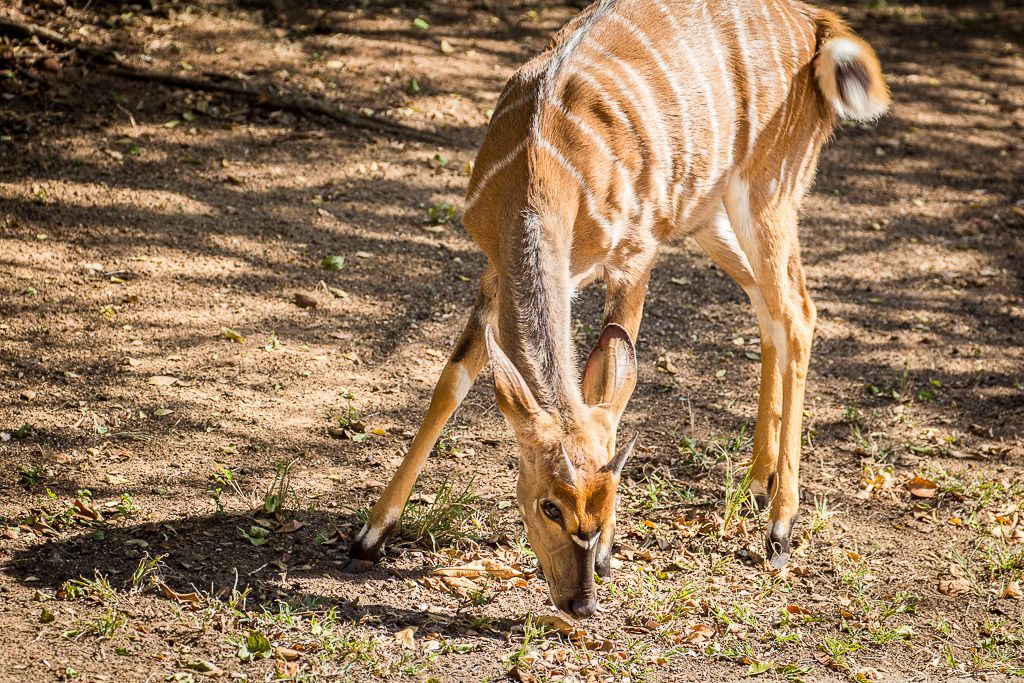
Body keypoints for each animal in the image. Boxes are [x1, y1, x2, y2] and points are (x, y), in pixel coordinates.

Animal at [346, 0, 888, 618]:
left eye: (606, 504)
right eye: (549, 505)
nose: (580, 601)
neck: (540, 170)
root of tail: (818, 24)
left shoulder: (635, 253)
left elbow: (613, 370)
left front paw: (608, 556)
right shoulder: (494, 265)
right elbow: (454, 378)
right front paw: (369, 535)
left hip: (770, 191)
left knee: (798, 312)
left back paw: (779, 530)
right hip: (710, 214)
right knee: (767, 307)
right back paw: (756, 484)